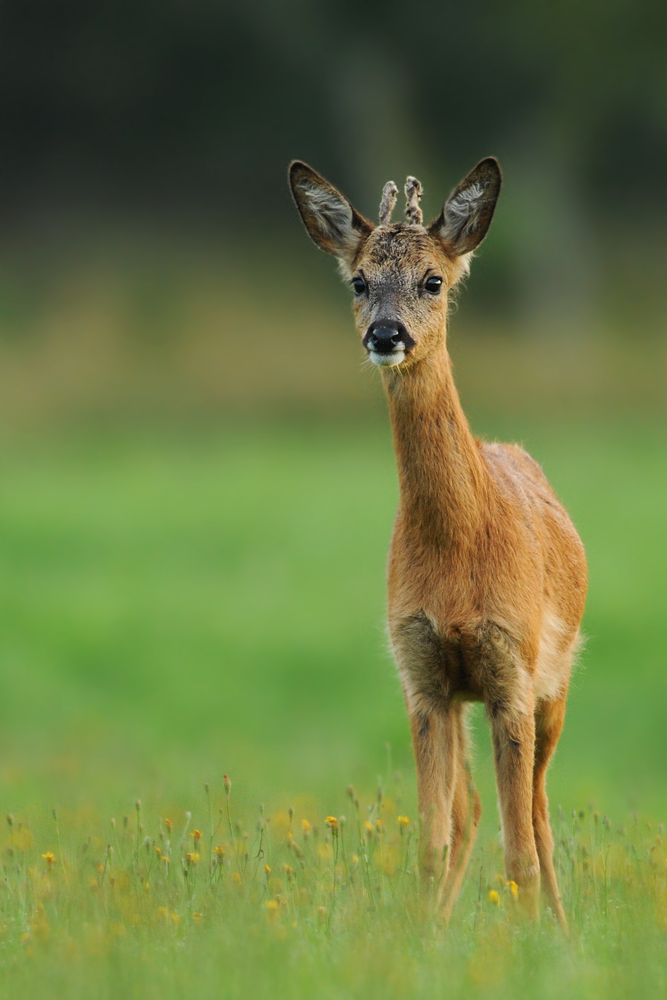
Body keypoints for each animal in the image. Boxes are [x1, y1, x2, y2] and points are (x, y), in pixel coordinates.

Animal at [290, 156, 588, 928]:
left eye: (433, 280)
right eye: (359, 281)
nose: (385, 333)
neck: (459, 555)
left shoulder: (512, 669)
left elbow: (520, 852)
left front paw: (526, 945)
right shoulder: (421, 675)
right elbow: (430, 841)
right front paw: (422, 940)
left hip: (555, 681)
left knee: (539, 813)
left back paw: (561, 931)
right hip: (458, 700)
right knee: (471, 810)